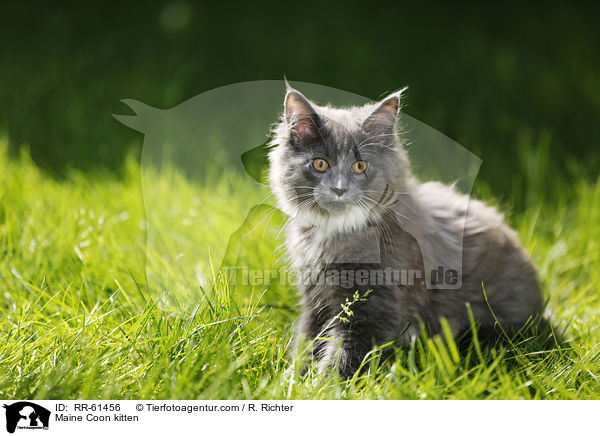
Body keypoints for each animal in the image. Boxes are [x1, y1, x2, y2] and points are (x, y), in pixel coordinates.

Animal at [268, 83, 544, 376]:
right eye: (320, 164)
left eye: (360, 166)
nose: (339, 188)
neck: (336, 231)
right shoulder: (316, 300)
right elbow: (308, 342)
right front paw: (291, 377)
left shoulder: (374, 307)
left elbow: (343, 356)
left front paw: (321, 383)